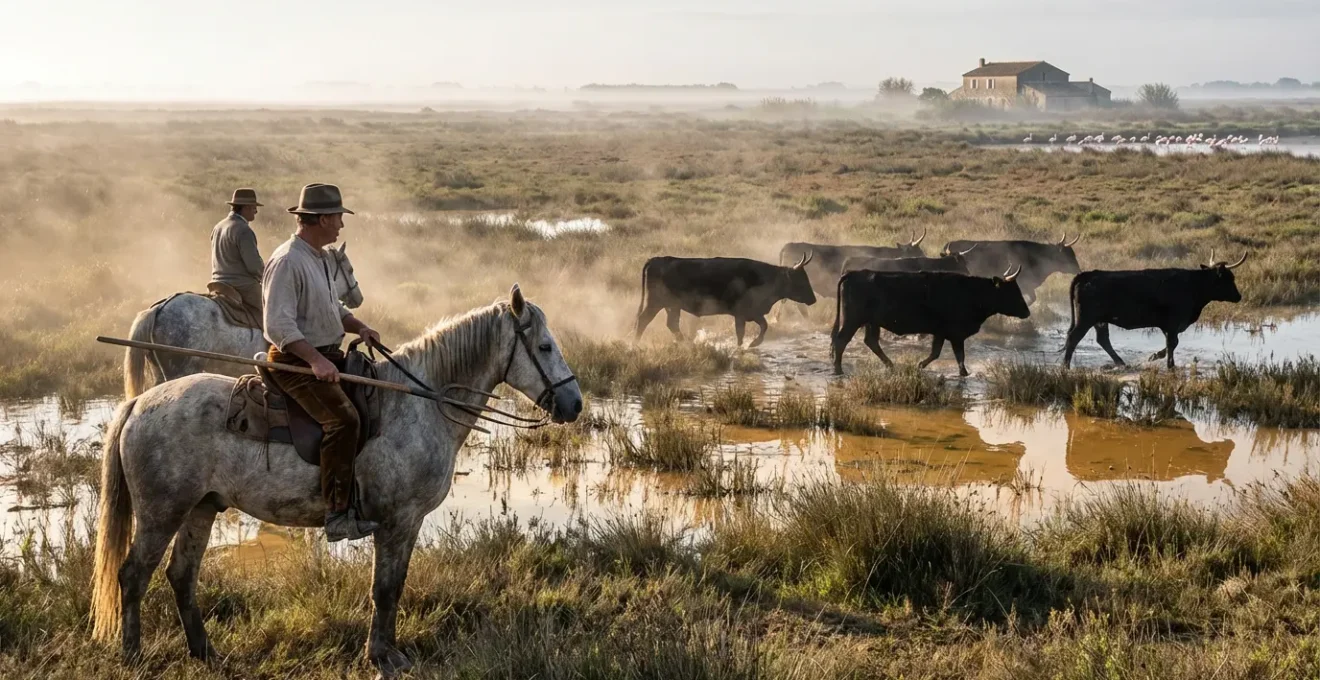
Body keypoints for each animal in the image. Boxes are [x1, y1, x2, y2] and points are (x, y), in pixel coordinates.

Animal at [91, 285, 581, 677]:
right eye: (543, 346)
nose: (574, 404)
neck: (418, 405)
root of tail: (138, 405)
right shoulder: (398, 521)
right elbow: (385, 589)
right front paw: (383, 657)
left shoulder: (406, 524)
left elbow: (393, 587)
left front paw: (386, 652)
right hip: (161, 513)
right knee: (132, 575)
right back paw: (133, 656)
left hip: (201, 508)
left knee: (181, 575)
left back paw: (206, 653)